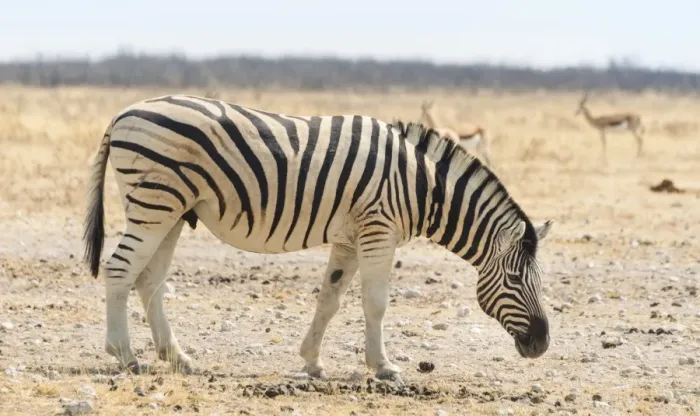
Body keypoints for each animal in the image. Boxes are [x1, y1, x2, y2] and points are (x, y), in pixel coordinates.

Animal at [82, 94, 554, 382]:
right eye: (517, 280)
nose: (542, 344)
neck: (421, 186)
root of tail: (123, 112)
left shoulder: (349, 238)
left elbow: (329, 299)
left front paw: (311, 361)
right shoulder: (378, 230)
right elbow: (375, 303)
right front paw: (384, 366)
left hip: (174, 212)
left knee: (149, 281)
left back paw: (177, 358)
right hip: (155, 203)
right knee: (120, 269)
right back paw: (124, 355)